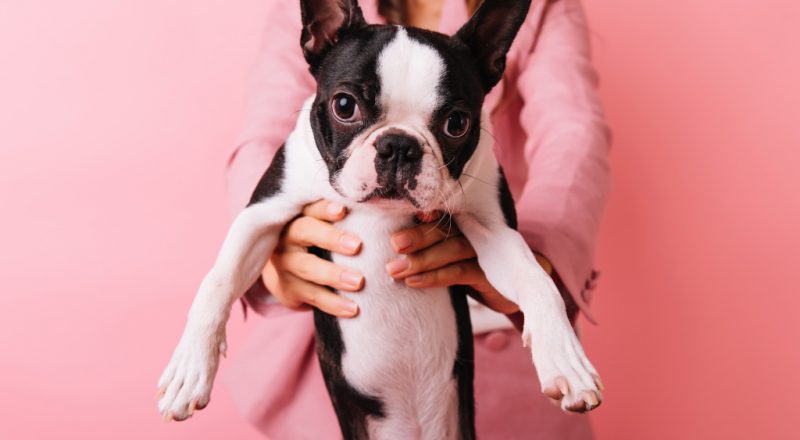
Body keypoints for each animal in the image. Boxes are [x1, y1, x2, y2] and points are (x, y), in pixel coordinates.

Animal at [158, 0, 600, 436]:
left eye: (457, 123)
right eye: (344, 106)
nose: (399, 145)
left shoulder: (494, 229)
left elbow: (537, 280)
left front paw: (565, 361)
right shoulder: (263, 213)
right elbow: (219, 278)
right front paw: (190, 370)